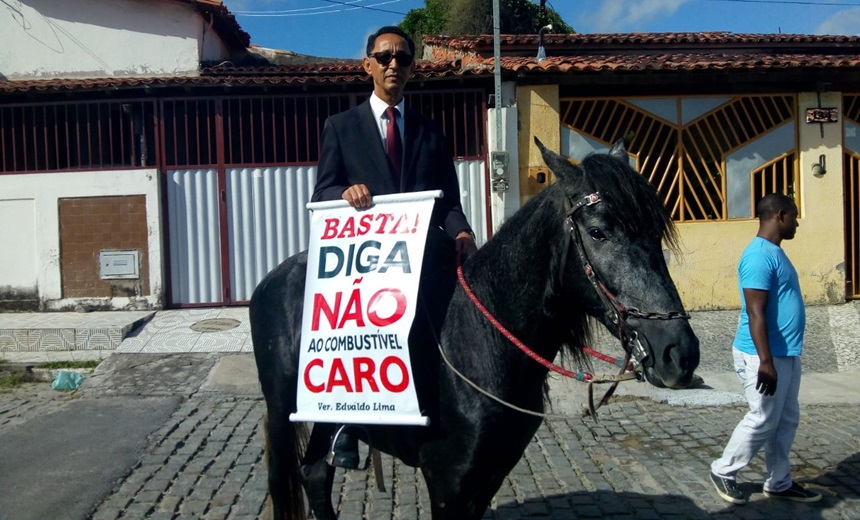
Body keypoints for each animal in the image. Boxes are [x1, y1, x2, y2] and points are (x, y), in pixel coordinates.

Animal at [249, 138, 700, 520]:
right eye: (598, 232)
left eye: (655, 232)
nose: (680, 353)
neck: (483, 339)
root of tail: (269, 280)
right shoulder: (447, 482)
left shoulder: (487, 477)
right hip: (283, 408)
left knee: (314, 476)